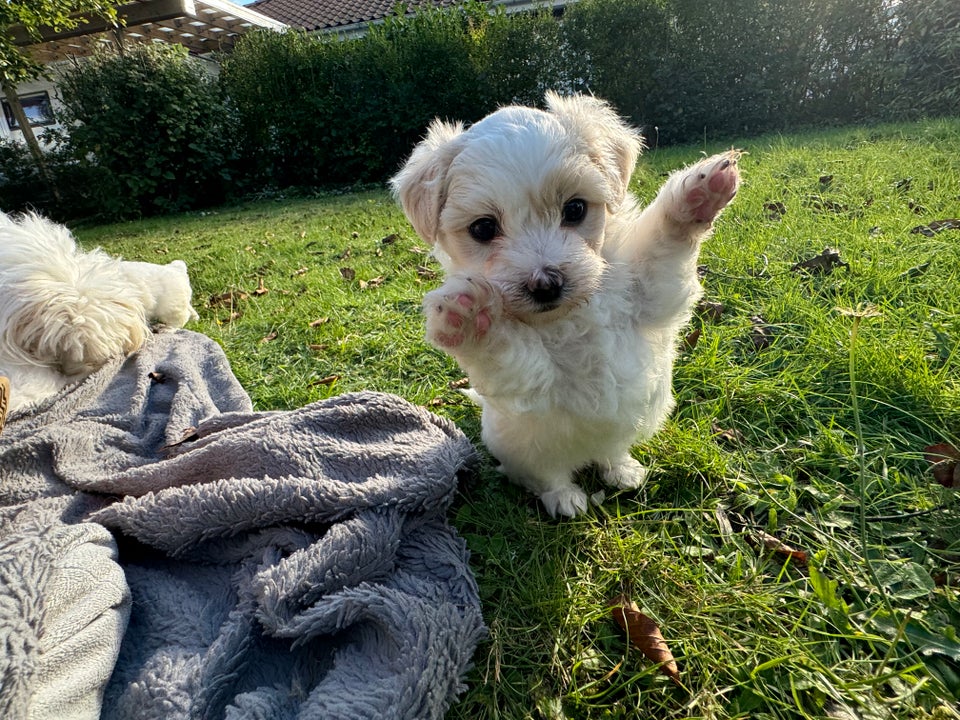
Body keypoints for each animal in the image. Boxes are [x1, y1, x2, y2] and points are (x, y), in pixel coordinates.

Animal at [390, 91, 744, 516]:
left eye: (575, 209)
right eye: (483, 228)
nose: (545, 284)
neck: (571, 316)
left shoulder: (651, 293)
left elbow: (665, 244)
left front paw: (698, 196)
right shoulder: (530, 379)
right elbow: (504, 347)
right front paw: (472, 315)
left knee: (611, 451)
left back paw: (622, 470)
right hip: (521, 448)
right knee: (545, 475)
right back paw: (564, 498)